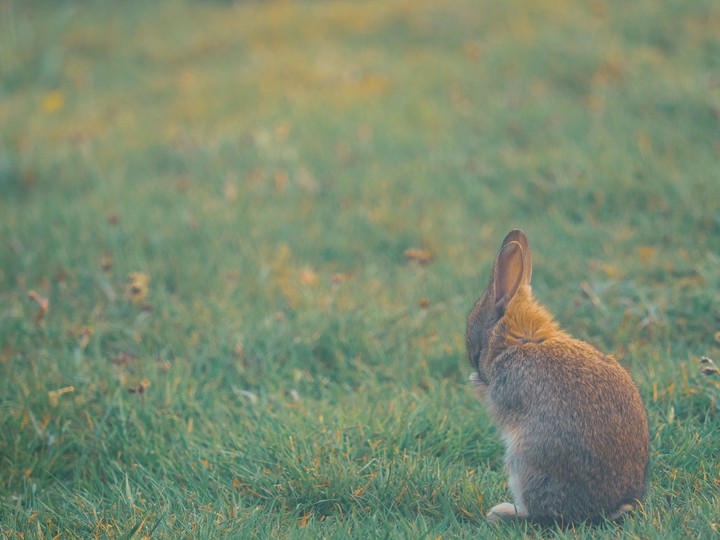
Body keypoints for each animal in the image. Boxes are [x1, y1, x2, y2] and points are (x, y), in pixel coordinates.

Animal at [466, 229, 649, 526]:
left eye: (475, 351)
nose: (475, 368)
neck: (524, 340)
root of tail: (607, 509)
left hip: (525, 464)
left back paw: (502, 513)